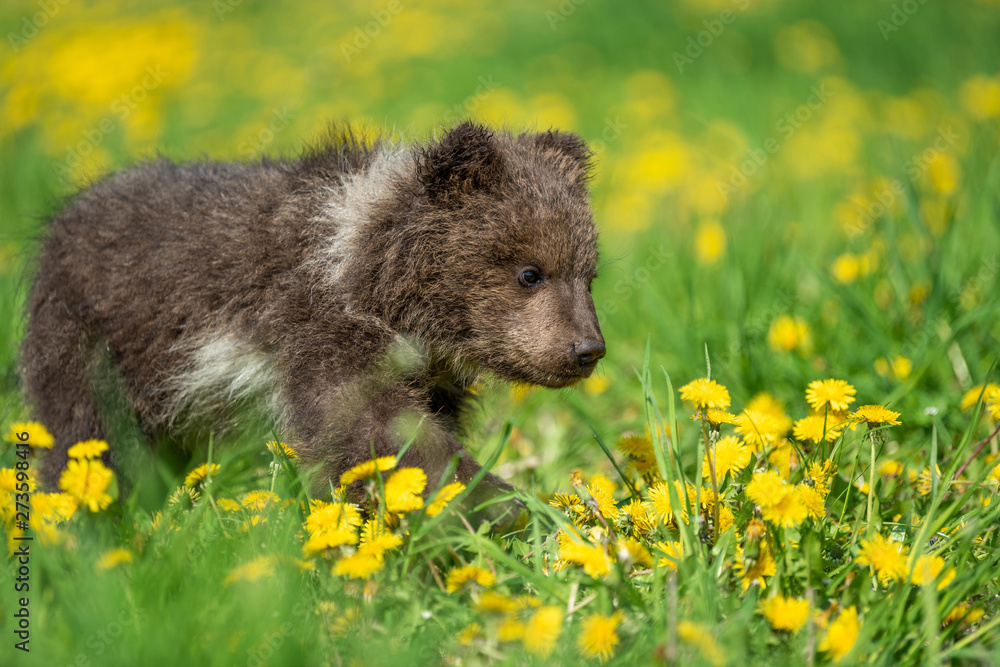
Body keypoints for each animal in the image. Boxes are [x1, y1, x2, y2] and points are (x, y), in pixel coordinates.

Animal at [20, 121, 605, 526]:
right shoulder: (321, 329)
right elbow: (376, 430)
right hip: (92, 348)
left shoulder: (428, 375)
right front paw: (500, 505)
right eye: (531, 272)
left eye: (589, 274)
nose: (587, 349)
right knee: (86, 442)